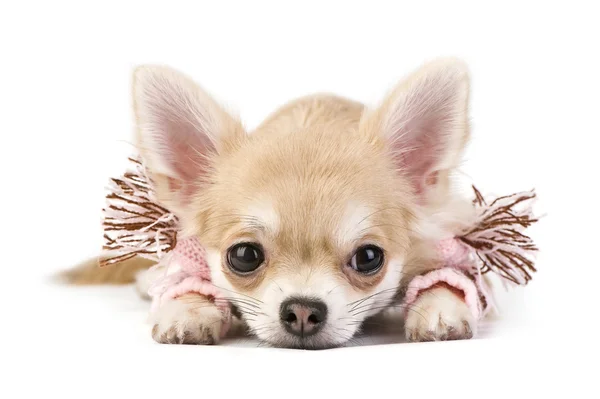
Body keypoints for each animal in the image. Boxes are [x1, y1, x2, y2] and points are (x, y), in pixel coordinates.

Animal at [65, 57, 478, 348]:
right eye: (244, 255)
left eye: (368, 257)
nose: (303, 310)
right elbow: (186, 283)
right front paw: (187, 311)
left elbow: (452, 280)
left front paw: (440, 307)